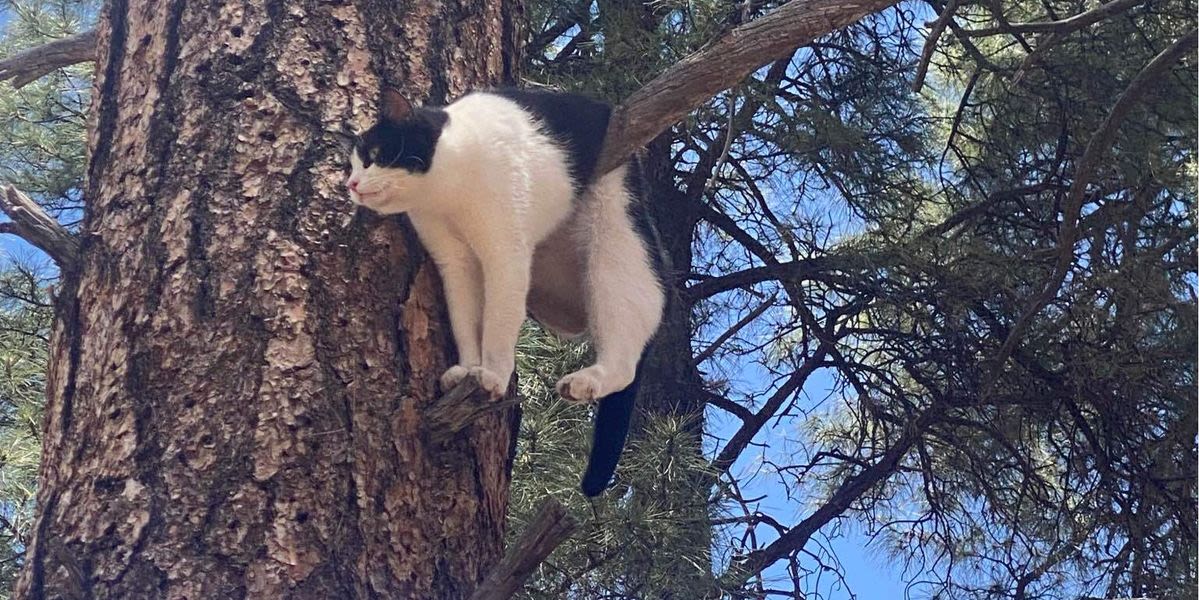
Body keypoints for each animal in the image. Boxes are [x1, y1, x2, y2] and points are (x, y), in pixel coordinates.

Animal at [345, 87, 666, 496]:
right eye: (353, 164)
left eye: (374, 155)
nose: (351, 185)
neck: (446, 190)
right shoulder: (456, 263)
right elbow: (466, 321)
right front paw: (468, 369)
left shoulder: (506, 256)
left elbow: (498, 326)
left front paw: (493, 376)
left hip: (613, 240)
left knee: (628, 350)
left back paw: (586, 381)